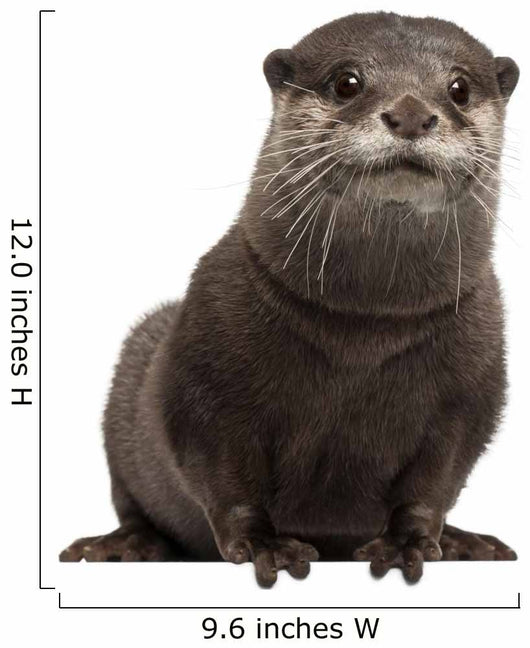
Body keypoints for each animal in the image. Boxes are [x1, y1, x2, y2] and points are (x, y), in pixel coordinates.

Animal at [60, 12, 519, 586]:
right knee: (133, 503)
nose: (412, 113)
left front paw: (409, 544)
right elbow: (222, 475)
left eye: (459, 88)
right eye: (347, 82)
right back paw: (124, 544)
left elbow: (435, 482)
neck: (366, 329)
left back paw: (468, 542)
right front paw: (266, 545)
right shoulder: (205, 364)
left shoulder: (471, 390)